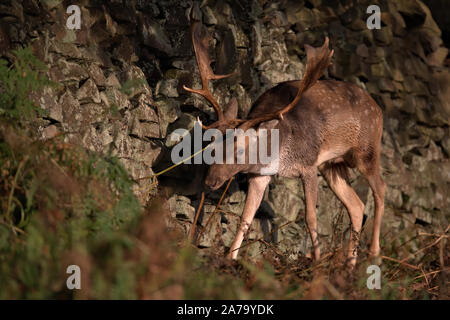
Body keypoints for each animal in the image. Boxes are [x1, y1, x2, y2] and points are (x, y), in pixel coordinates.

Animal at [181, 17, 384, 268]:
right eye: (212, 148)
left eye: (240, 151)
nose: (210, 182)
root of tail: (379, 109)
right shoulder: (260, 175)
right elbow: (246, 218)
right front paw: (230, 258)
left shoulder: (308, 164)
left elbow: (311, 217)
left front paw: (316, 262)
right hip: (332, 165)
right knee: (356, 205)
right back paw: (349, 266)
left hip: (367, 150)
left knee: (381, 190)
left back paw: (374, 254)